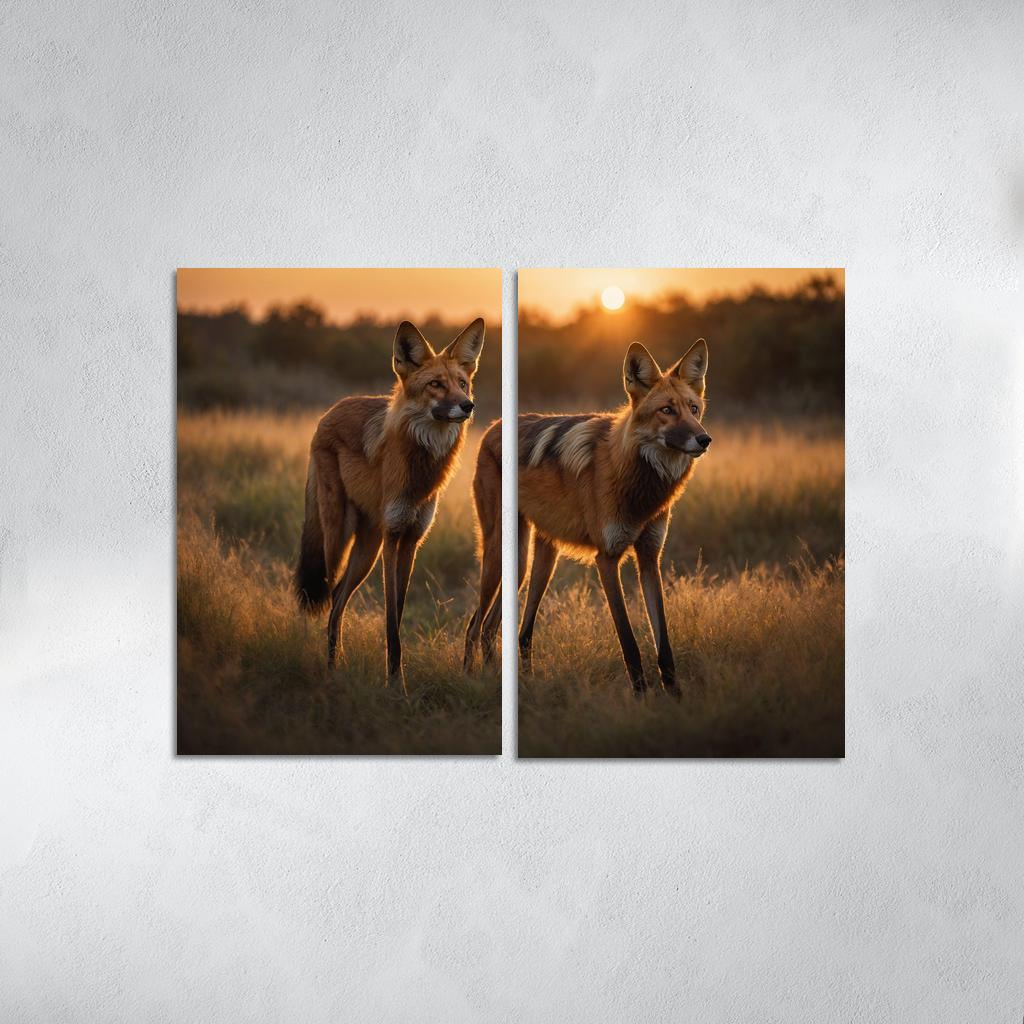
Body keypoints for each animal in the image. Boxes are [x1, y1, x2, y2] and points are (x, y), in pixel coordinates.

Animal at [295, 318, 485, 689]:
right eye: (436, 385)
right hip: (338, 536)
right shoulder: (393, 537)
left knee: (338, 598)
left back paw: (335, 666)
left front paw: (396, 678)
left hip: (367, 549)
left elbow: (397, 616)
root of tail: (330, 410)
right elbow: (390, 626)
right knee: (330, 595)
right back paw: (329, 669)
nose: (468, 406)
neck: (419, 477)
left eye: (462, 384)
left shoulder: (411, 539)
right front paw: (396, 686)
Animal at [464, 338, 710, 693]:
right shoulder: (606, 559)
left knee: (513, 632)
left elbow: (663, 645)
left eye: (694, 409)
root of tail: (493, 427)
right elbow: (630, 644)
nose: (704, 439)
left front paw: (675, 697)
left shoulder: (650, 557)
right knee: (475, 626)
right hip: (502, 558)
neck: (638, 489)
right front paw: (641, 697)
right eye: (667, 410)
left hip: (536, 564)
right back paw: (472, 679)